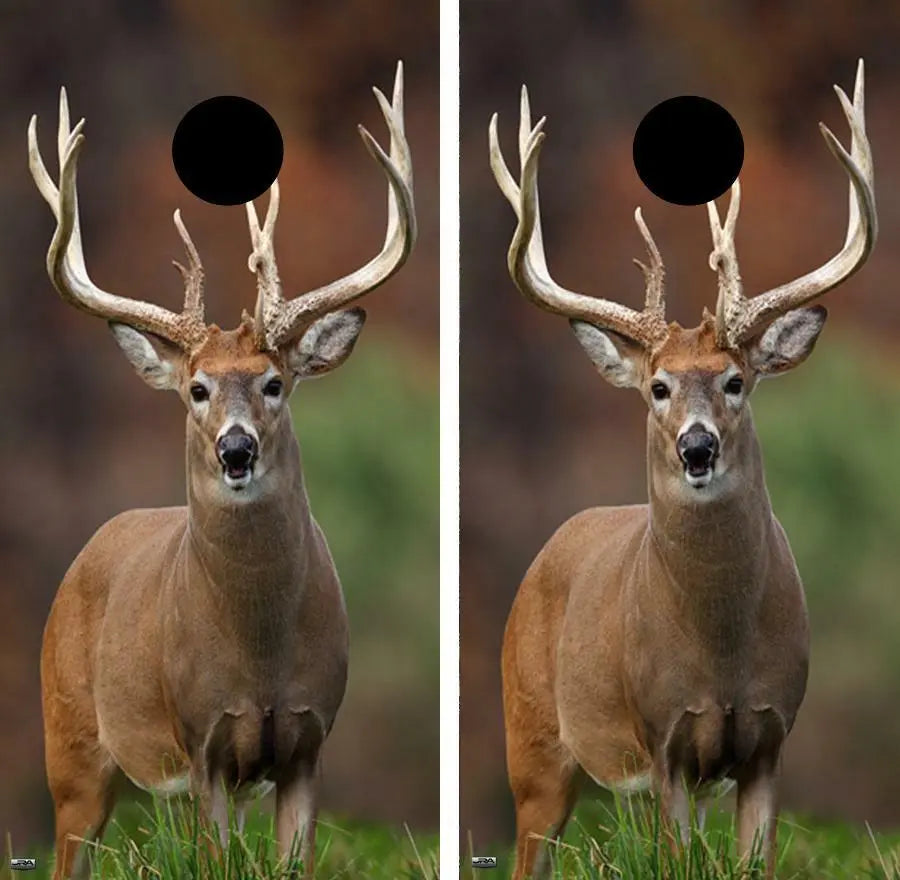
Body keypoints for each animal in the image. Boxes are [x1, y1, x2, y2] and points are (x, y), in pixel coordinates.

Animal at [29, 62, 415, 880]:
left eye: (274, 383)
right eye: (197, 389)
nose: (236, 450)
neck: (258, 654)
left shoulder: (309, 738)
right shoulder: (201, 737)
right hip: (68, 741)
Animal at [489, 60, 875, 879]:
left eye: (735, 381)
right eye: (659, 387)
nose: (697, 448)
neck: (719, 653)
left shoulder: (770, 736)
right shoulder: (663, 736)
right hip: (530, 740)